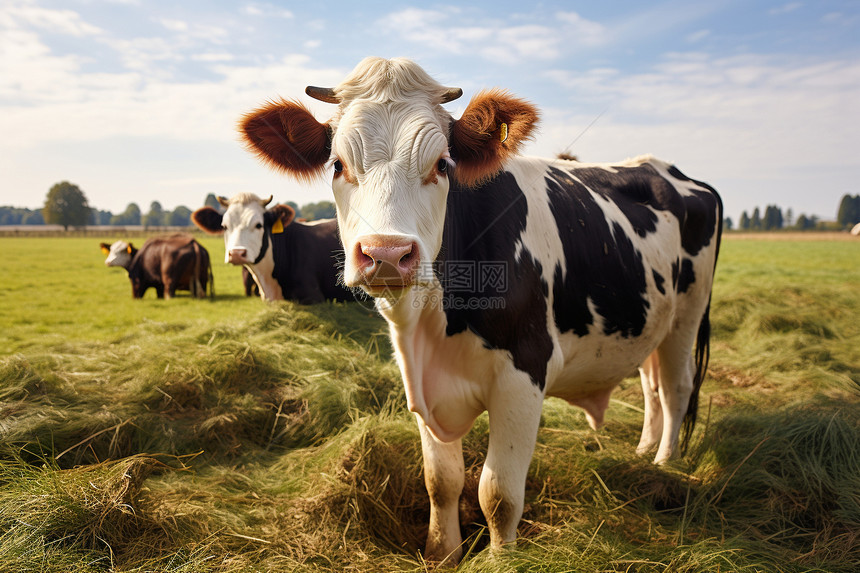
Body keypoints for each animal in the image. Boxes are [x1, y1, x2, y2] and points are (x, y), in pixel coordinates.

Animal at [239, 58, 724, 564]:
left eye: (442, 164)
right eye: (338, 164)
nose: (387, 253)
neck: (432, 327)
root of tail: (671, 171)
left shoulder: (524, 373)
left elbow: (498, 494)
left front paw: (502, 558)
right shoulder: (420, 379)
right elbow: (441, 481)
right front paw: (442, 551)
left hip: (688, 314)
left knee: (676, 386)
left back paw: (665, 462)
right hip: (649, 318)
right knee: (652, 383)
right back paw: (644, 449)